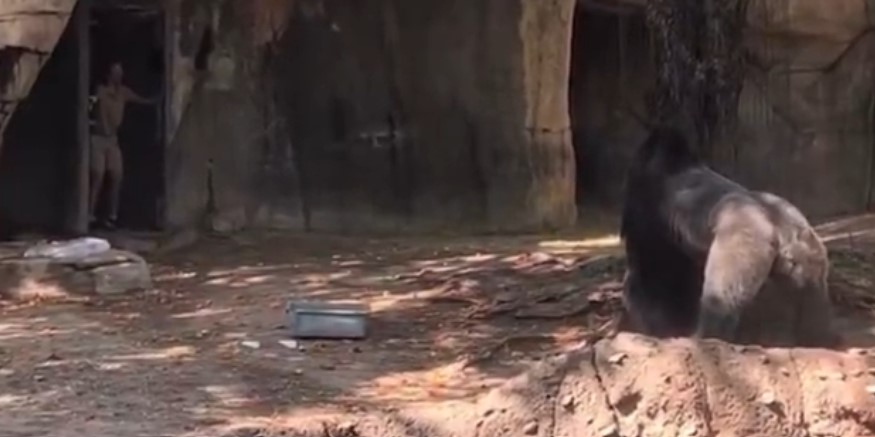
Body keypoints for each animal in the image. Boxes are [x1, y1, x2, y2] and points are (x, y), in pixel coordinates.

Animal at [619, 126, 840, 348]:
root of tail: (782, 225)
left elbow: (652, 272)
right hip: (808, 251)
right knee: (813, 301)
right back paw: (820, 339)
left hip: (743, 241)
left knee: (720, 298)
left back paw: (704, 338)